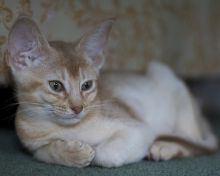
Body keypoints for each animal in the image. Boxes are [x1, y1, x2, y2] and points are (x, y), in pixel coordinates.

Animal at [5, 16, 218, 168]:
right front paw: (72, 153)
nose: (78, 108)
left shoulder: (137, 129)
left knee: (198, 144)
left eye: (87, 85)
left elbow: (104, 155)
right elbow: (44, 153)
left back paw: (165, 147)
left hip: (169, 80)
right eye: (56, 86)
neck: (63, 129)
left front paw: (88, 152)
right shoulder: (32, 146)